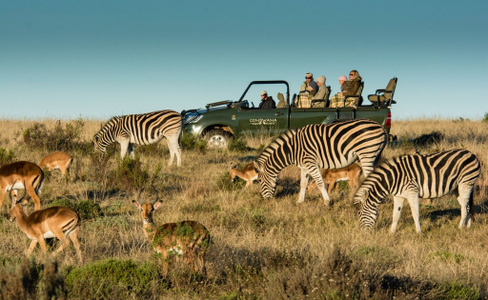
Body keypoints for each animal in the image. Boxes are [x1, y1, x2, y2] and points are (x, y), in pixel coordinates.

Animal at [255, 119, 388, 204]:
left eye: (260, 180)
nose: (265, 201)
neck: (293, 149)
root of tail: (381, 127)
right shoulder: (304, 166)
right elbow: (303, 184)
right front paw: (300, 202)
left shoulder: (311, 163)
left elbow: (320, 183)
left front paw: (327, 202)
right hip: (372, 156)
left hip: (367, 155)